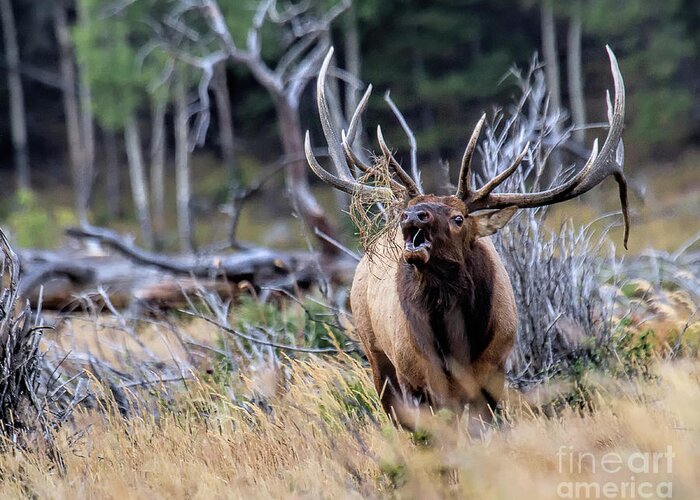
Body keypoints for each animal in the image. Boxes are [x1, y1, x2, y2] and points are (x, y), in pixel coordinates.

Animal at [304, 46, 628, 430]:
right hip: (376, 355)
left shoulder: (494, 370)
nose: (414, 215)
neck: (455, 339)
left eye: (459, 218)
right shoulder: (414, 375)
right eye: (407, 210)